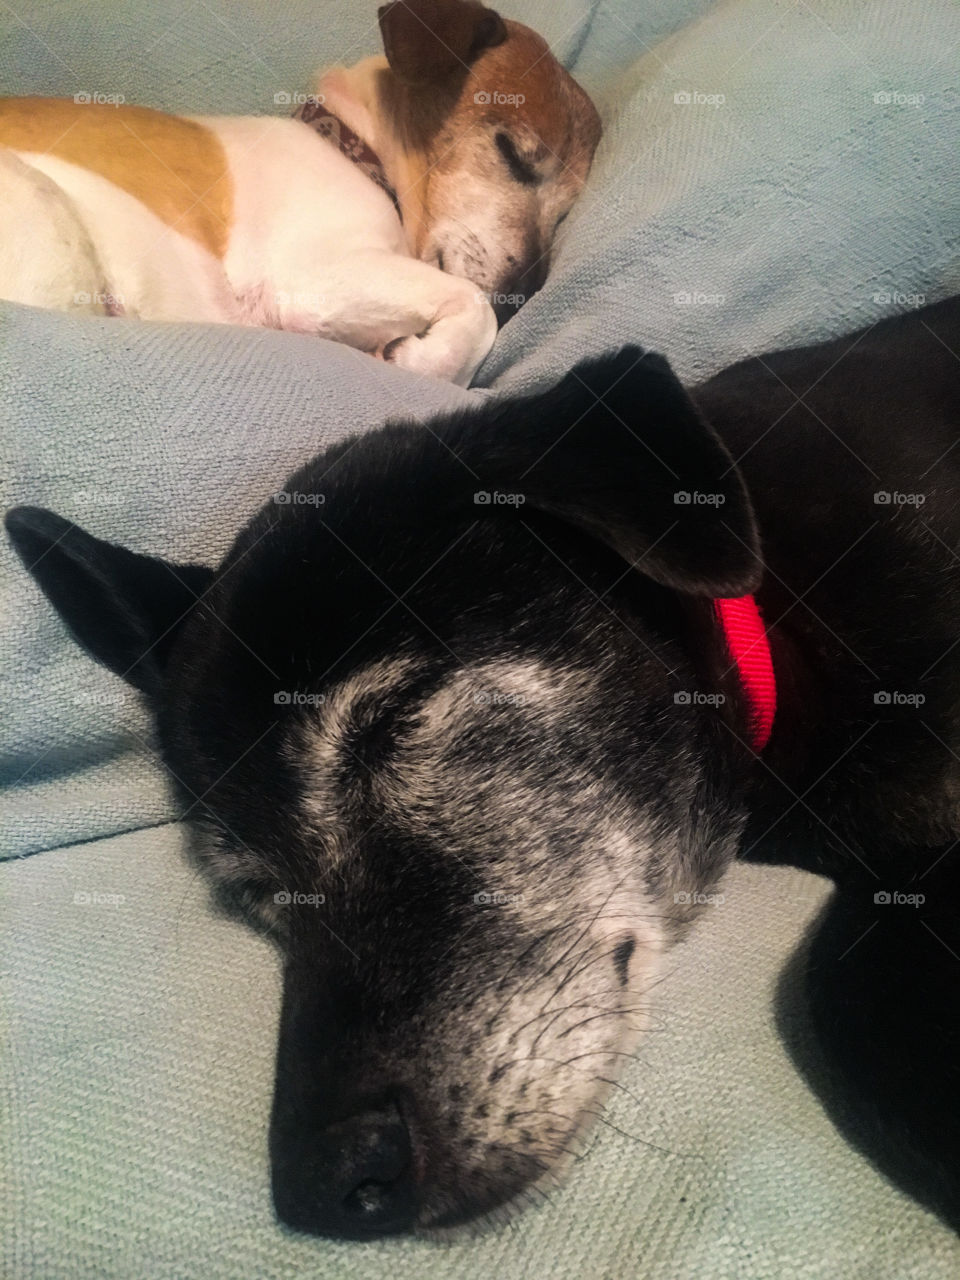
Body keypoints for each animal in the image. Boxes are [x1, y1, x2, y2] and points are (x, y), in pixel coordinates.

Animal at [0, 0, 601, 384]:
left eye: (566, 211)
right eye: (511, 153)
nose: (526, 295)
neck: (356, 145)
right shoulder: (314, 277)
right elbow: (476, 313)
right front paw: (418, 361)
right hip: (45, 210)